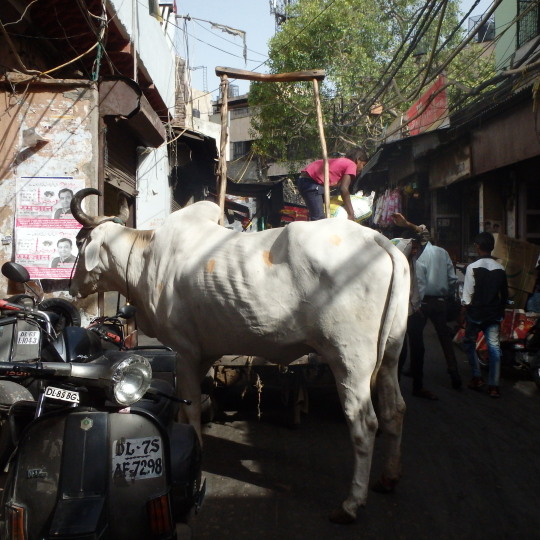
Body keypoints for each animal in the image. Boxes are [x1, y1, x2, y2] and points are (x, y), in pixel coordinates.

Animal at [69, 189, 408, 524]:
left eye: (80, 241)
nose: (72, 288)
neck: (145, 255)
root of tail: (377, 240)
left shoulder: (185, 350)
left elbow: (191, 407)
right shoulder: (205, 352)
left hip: (350, 359)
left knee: (364, 423)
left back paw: (351, 504)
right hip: (391, 353)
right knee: (394, 410)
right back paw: (388, 478)